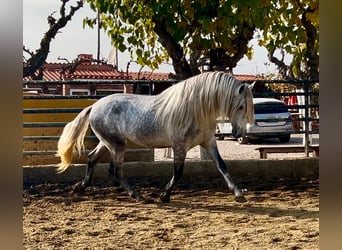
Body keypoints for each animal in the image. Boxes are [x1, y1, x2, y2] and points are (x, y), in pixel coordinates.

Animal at [56, 71, 254, 203]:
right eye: (241, 106)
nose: (239, 134)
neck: (195, 110)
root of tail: (94, 106)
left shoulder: (209, 142)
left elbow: (222, 166)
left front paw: (238, 194)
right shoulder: (179, 147)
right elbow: (178, 173)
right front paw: (164, 195)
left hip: (107, 143)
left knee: (92, 159)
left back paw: (80, 187)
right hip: (117, 145)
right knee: (116, 170)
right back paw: (137, 196)